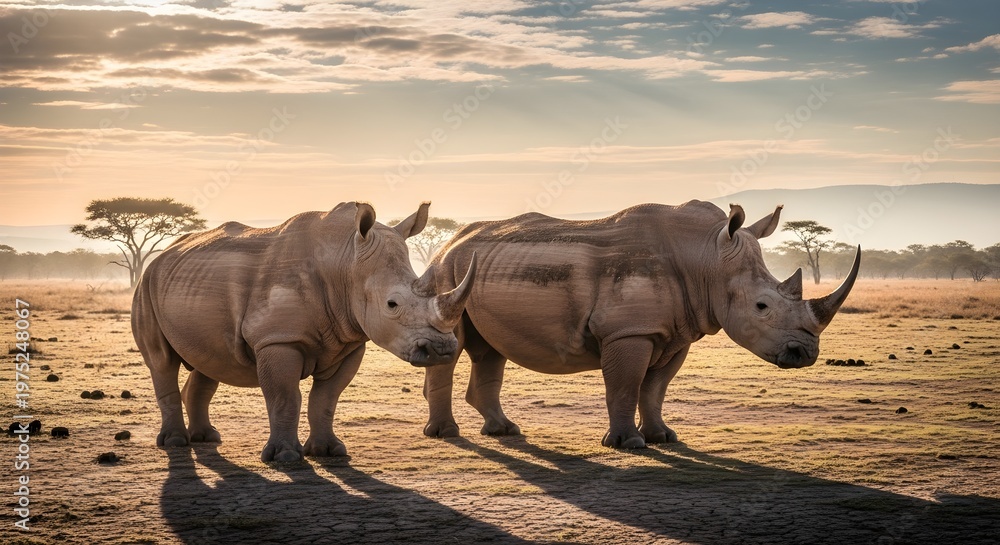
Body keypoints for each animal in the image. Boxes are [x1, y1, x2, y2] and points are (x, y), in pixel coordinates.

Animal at [132, 202, 477, 462]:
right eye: (392, 304)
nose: (442, 350)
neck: (345, 263)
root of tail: (164, 253)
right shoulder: (278, 339)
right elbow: (285, 397)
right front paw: (285, 457)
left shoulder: (350, 340)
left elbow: (326, 398)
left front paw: (328, 451)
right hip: (146, 284)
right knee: (161, 361)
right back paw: (175, 442)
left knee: (210, 360)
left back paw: (206, 438)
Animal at [422, 201, 860, 448]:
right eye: (762, 306)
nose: (805, 353)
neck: (706, 257)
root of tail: (448, 242)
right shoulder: (628, 331)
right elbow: (625, 384)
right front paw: (627, 444)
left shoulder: (676, 333)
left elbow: (655, 389)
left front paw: (662, 437)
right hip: (448, 272)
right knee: (453, 340)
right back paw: (448, 435)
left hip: (473, 266)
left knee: (489, 351)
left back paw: (504, 430)